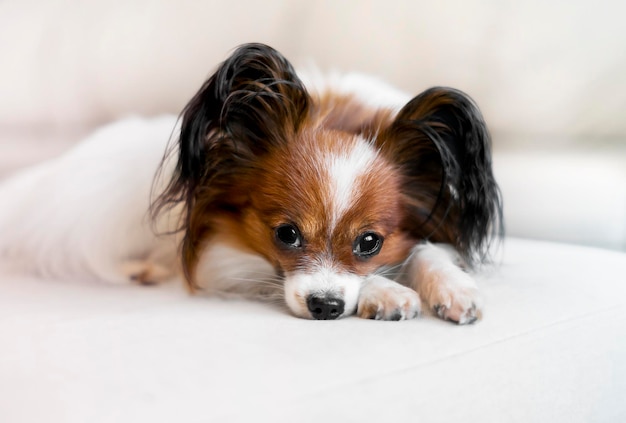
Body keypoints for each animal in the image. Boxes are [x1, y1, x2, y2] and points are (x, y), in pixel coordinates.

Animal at [0, 43, 502, 322]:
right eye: (286, 234)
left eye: (369, 243)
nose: (325, 308)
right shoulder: (221, 261)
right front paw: (386, 291)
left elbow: (426, 249)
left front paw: (453, 288)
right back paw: (139, 271)